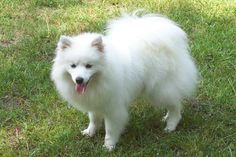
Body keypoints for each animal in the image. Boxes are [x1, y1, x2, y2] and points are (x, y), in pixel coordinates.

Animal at [51, 12, 197, 151]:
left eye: (89, 66)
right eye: (73, 66)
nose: (79, 80)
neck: (99, 80)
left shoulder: (113, 108)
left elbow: (110, 130)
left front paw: (108, 146)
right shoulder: (95, 101)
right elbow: (93, 119)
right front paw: (90, 132)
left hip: (159, 89)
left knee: (175, 106)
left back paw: (171, 125)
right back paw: (166, 118)